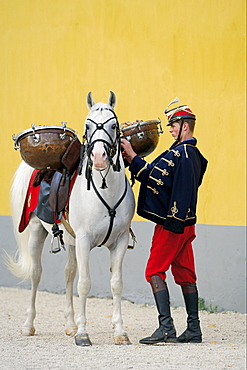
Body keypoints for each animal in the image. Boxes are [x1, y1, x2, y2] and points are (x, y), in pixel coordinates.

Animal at [6, 91, 135, 346]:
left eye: (114, 126)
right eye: (87, 125)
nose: (99, 157)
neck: (105, 189)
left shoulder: (120, 241)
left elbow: (116, 284)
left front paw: (119, 332)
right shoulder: (84, 240)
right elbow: (84, 284)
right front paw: (83, 334)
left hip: (72, 241)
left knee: (68, 274)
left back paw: (70, 325)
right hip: (37, 231)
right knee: (36, 274)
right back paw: (29, 325)